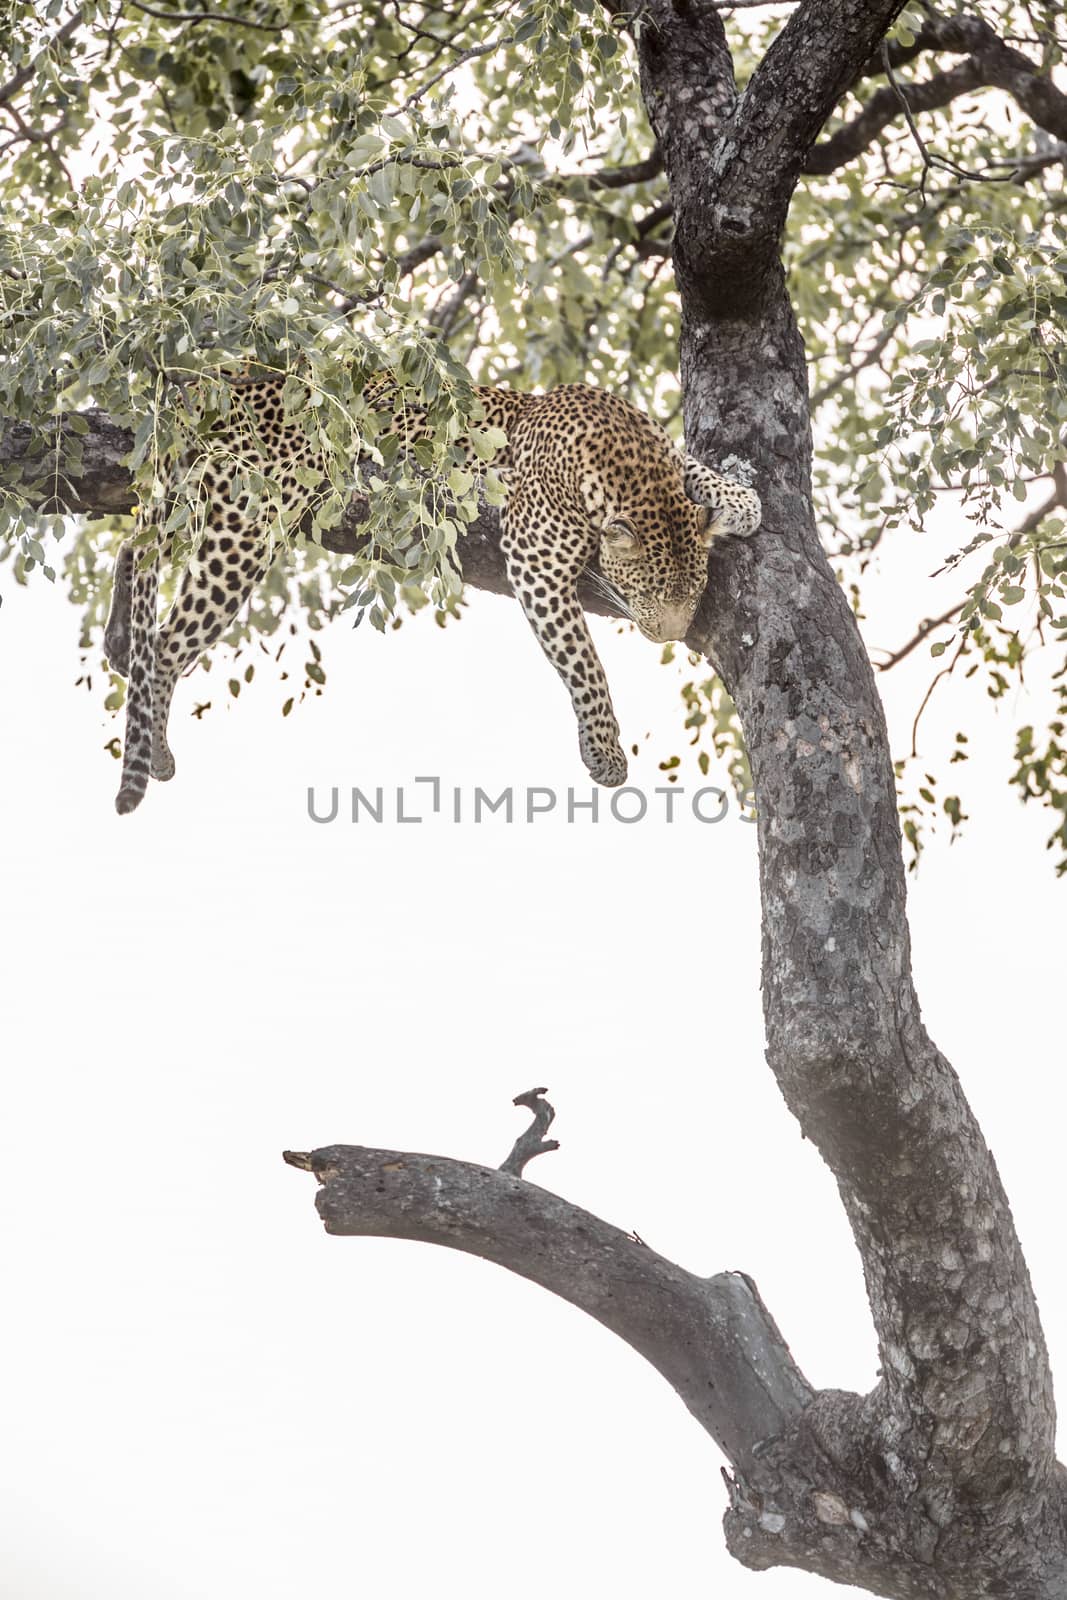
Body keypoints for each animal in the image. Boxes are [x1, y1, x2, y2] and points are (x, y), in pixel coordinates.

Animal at [106, 374, 758, 812]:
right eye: (650, 590)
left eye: (693, 590)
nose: (668, 634)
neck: (629, 462)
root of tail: (224, 383)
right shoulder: (537, 561)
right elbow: (586, 664)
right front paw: (605, 753)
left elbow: (698, 470)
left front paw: (742, 503)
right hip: (248, 523)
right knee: (166, 644)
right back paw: (156, 748)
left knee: (132, 549)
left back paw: (117, 643)